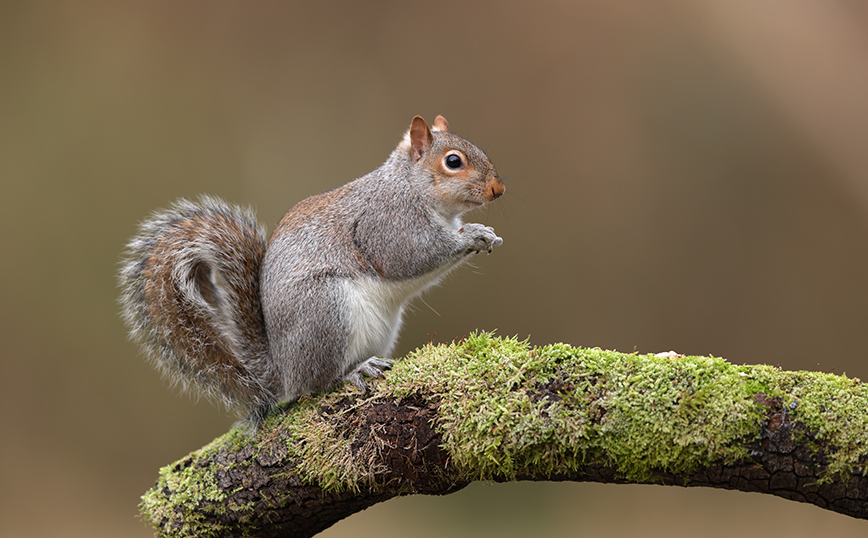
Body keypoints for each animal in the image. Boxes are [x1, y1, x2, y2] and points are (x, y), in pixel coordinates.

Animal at [118, 115, 506, 426]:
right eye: (453, 161)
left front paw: (485, 233)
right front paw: (471, 234)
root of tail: (282, 369)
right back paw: (353, 371)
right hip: (325, 311)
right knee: (317, 383)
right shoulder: (385, 223)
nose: (498, 189)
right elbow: (408, 257)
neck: (410, 186)